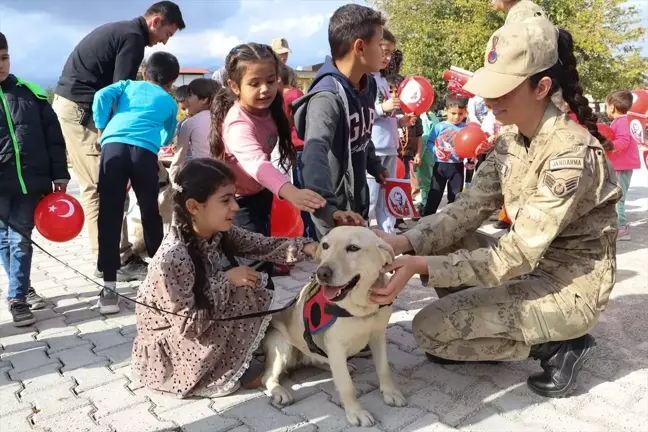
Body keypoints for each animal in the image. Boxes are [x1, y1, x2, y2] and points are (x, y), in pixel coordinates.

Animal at [260, 228, 404, 426]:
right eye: (325, 245)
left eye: (353, 248)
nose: (322, 273)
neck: (360, 308)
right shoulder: (336, 346)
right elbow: (347, 386)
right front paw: (355, 412)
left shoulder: (378, 335)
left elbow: (384, 369)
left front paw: (390, 392)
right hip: (281, 346)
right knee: (267, 377)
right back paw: (279, 391)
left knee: (319, 360)